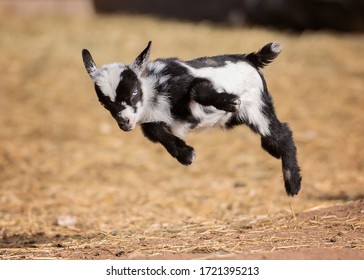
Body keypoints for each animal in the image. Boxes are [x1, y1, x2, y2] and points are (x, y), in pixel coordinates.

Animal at [82, 41, 302, 196]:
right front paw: (186, 154)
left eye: (134, 92)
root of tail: (249, 58)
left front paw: (228, 101)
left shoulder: (187, 81)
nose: (124, 122)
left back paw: (293, 183)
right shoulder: (152, 121)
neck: (153, 89)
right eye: (104, 103)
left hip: (257, 107)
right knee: (271, 141)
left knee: (282, 134)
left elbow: (198, 89)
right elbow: (157, 133)